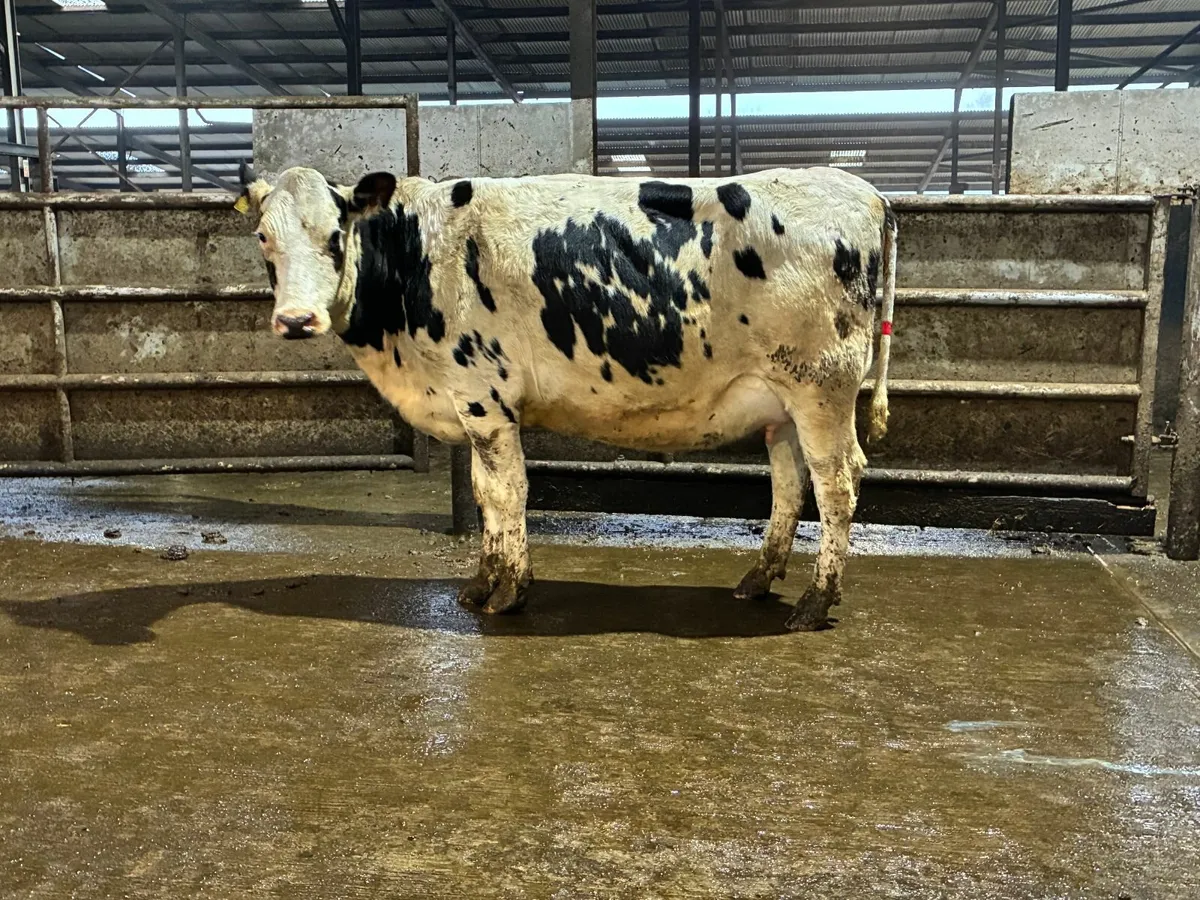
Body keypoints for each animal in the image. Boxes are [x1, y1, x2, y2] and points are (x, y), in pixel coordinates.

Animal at [235, 163, 896, 631]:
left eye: (335, 233)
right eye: (263, 237)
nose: (296, 321)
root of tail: (865, 192)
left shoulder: (483, 396)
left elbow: (507, 493)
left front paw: (509, 592)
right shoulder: (475, 407)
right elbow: (484, 494)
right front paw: (480, 584)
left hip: (820, 388)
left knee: (838, 482)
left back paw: (815, 602)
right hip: (781, 403)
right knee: (790, 484)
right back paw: (759, 579)